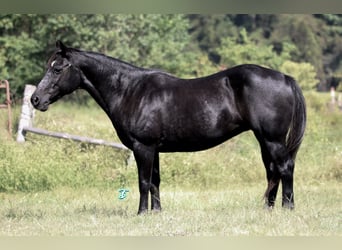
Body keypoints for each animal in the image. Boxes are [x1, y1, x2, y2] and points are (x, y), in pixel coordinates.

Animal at [30, 40, 306, 213]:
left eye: (58, 68)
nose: (36, 100)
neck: (130, 90)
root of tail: (285, 78)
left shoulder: (143, 147)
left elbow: (143, 181)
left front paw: (141, 213)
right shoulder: (154, 149)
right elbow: (155, 181)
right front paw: (156, 212)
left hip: (272, 139)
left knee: (285, 168)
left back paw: (288, 208)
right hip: (264, 140)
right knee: (272, 172)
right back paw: (268, 209)